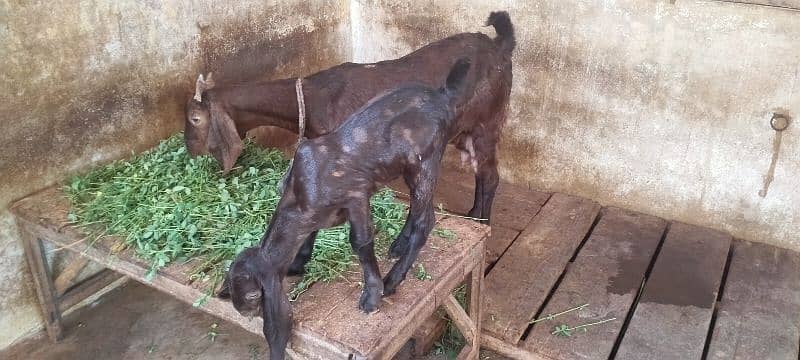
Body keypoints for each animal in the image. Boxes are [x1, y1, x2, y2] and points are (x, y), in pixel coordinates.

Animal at [184, 10, 516, 222]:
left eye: (195, 119)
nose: (189, 150)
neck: (314, 98)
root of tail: (499, 45)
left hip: (488, 122)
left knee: (490, 176)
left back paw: (482, 222)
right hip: (465, 130)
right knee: (480, 171)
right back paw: (473, 216)